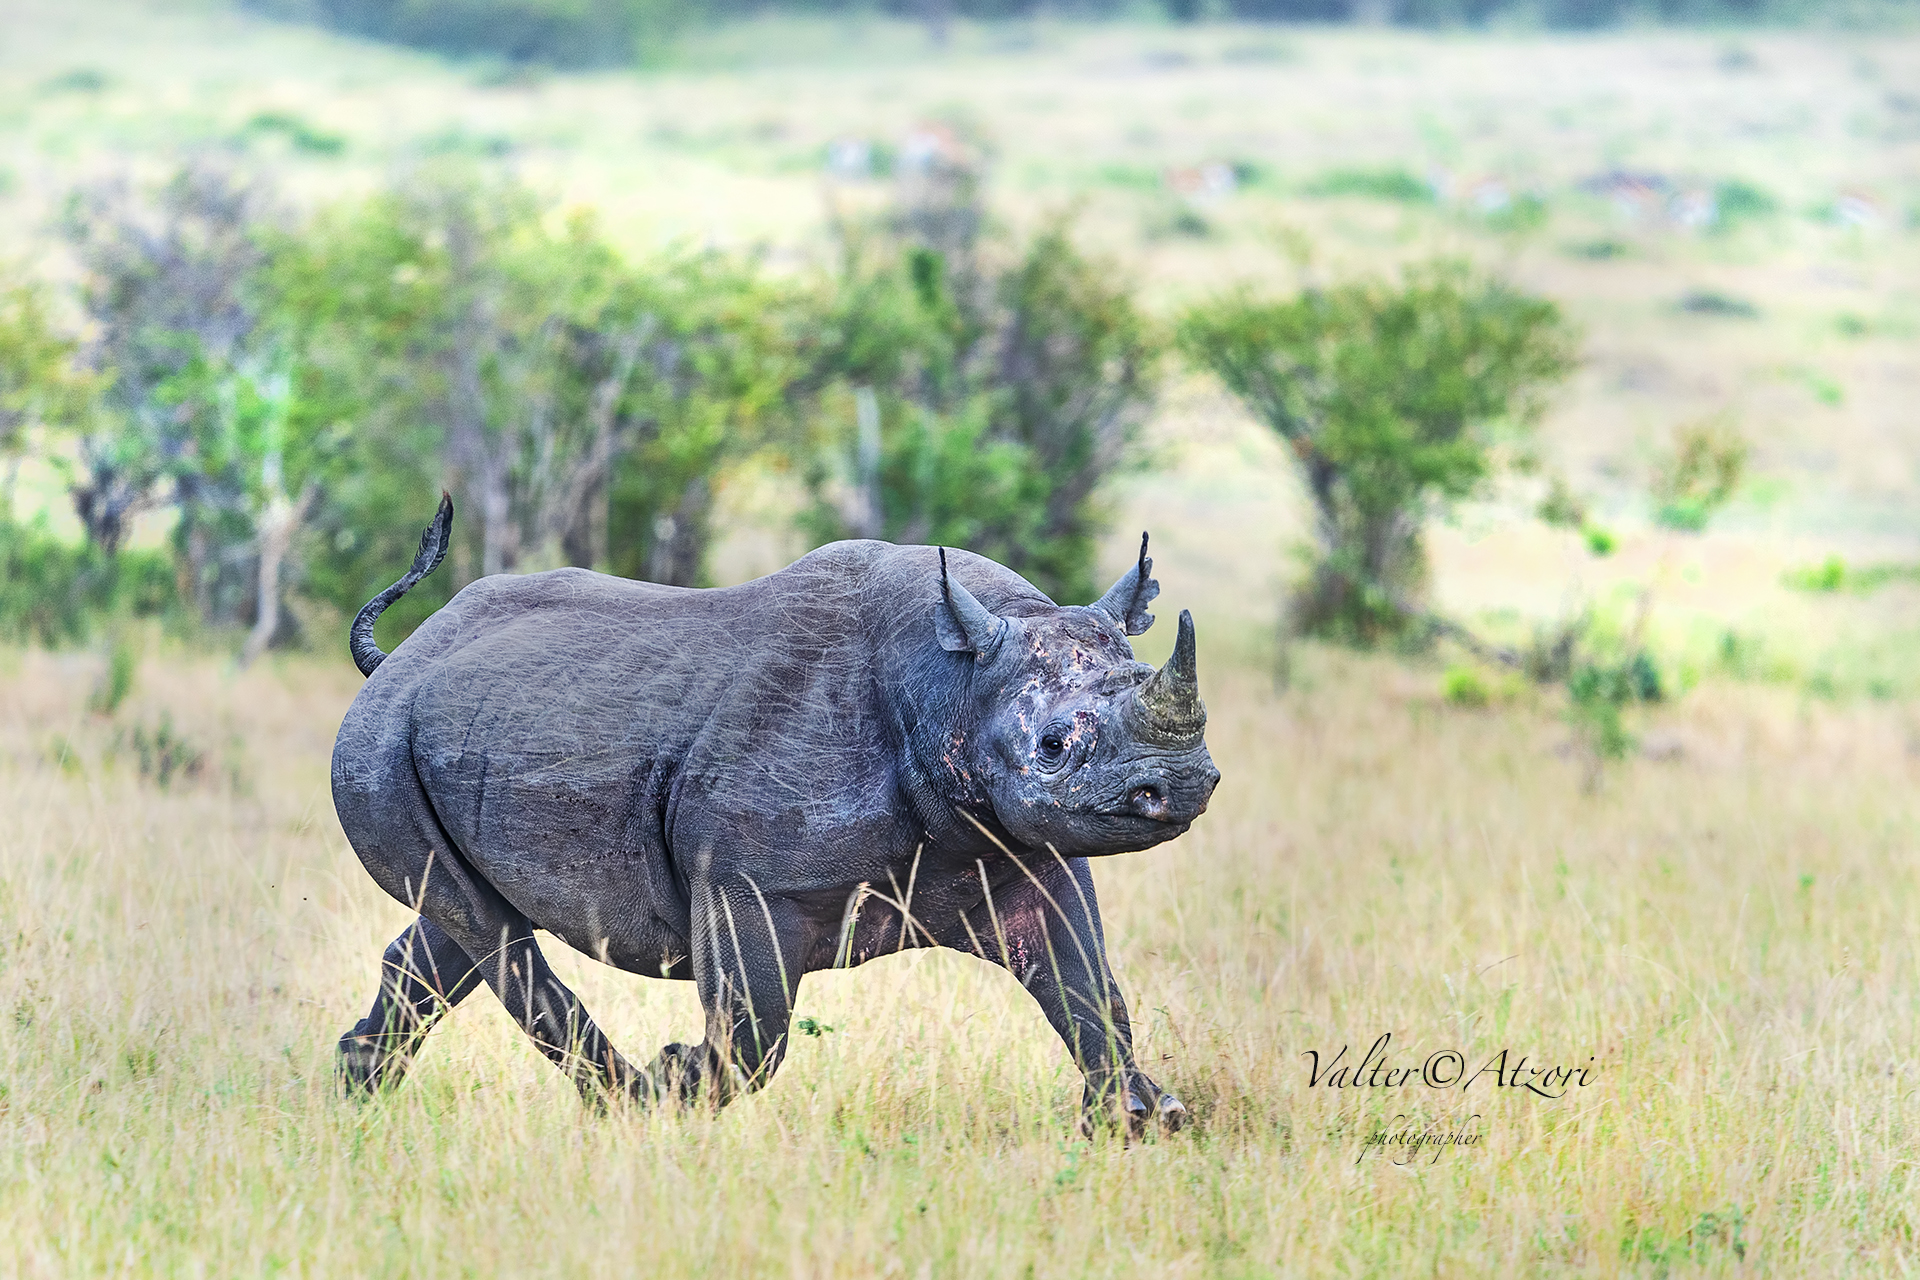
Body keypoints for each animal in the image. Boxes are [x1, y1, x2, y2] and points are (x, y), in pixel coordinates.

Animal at [332, 496, 1219, 1133]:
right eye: (1053, 745)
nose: (1177, 788)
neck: (953, 684)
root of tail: (404, 657)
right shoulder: (745, 883)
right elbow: (756, 1027)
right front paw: (678, 1082)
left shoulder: (1023, 851)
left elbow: (1090, 990)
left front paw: (1145, 1117)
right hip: (376, 744)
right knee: (490, 931)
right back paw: (627, 1099)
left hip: (458, 731)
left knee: (462, 925)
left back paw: (358, 1091)